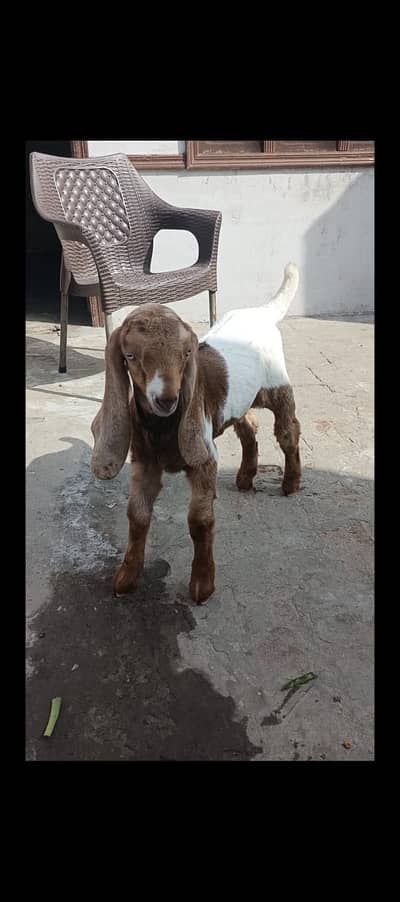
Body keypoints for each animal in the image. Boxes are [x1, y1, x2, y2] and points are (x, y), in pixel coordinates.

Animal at [91, 263, 301, 604]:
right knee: (248, 428)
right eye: (130, 356)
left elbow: (199, 520)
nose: (167, 399)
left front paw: (202, 585)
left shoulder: (203, 458)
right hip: (238, 401)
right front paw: (126, 578)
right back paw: (245, 477)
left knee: (287, 431)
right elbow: (137, 514)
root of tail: (261, 312)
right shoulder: (145, 462)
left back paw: (291, 483)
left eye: (185, 355)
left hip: (277, 385)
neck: (163, 426)